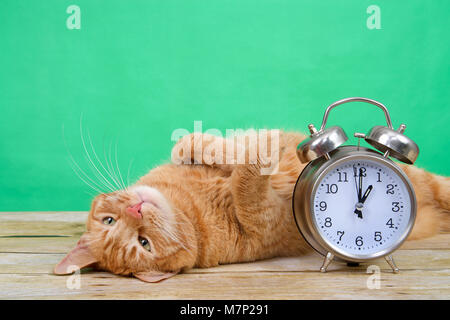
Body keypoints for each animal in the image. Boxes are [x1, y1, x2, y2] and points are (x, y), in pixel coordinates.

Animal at [54, 130, 448, 282]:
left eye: (107, 220)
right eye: (143, 244)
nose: (136, 211)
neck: (188, 202)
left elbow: (190, 148)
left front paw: (213, 143)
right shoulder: (268, 220)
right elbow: (247, 187)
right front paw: (262, 152)